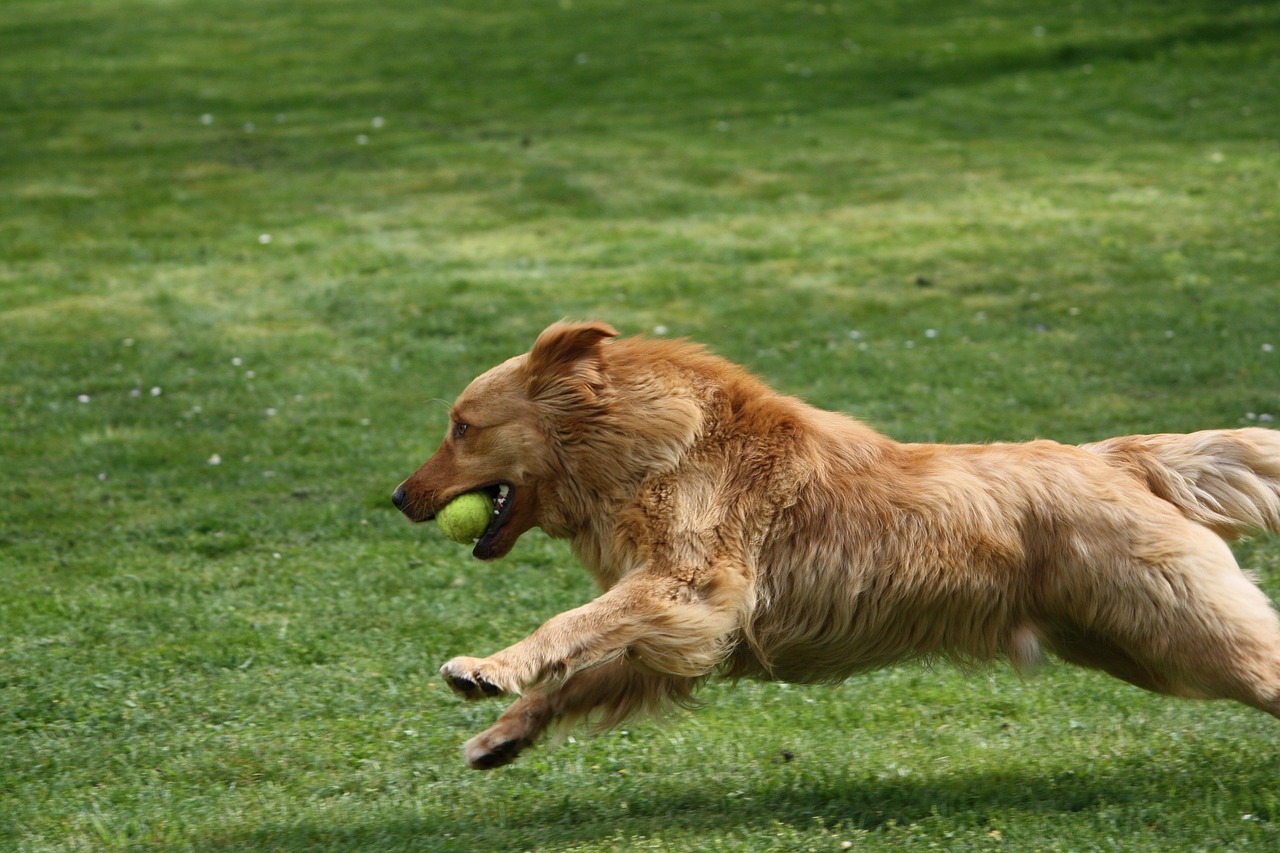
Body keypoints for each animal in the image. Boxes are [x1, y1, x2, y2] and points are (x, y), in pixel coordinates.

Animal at [389, 320, 1280, 768]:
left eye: (461, 427)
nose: (399, 497)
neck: (658, 445)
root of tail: (1116, 455)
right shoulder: (690, 637)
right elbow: (581, 676)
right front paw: (505, 734)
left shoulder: (688, 589)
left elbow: (567, 627)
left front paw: (489, 667)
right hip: (1130, 644)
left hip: (1189, 632)